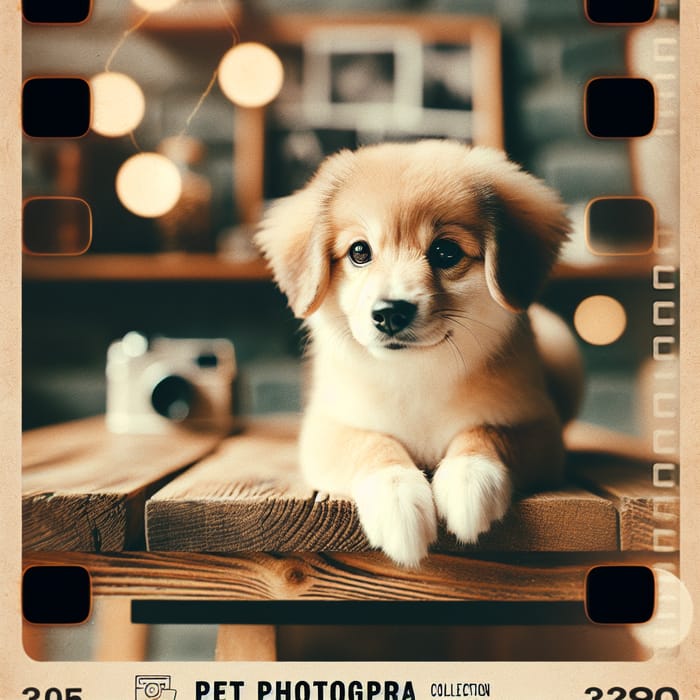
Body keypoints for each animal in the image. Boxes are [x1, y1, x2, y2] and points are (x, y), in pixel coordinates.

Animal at [254, 139, 584, 568]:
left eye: (445, 252)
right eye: (359, 251)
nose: (390, 313)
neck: (415, 372)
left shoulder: (540, 427)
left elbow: (487, 431)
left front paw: (468, 477)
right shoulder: (325, 427)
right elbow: (370, 444)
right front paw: (397, 498)